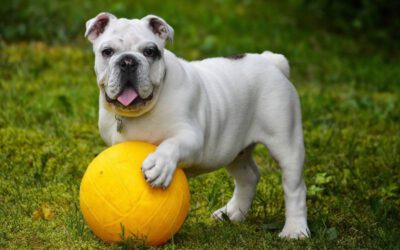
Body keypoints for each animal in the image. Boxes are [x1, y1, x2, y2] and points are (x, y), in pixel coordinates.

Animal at [84, 12, 310, 238]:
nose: (128, 61)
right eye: (107, 52)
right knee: (248, 177)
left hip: (286, 143)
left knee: (295, 187)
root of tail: (270, 61)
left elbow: (170, 144)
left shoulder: (191, 138)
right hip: (234, 150)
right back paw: (232, 213)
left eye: (149, 51)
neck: (141, 111)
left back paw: (295, 230)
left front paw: (159, 164)